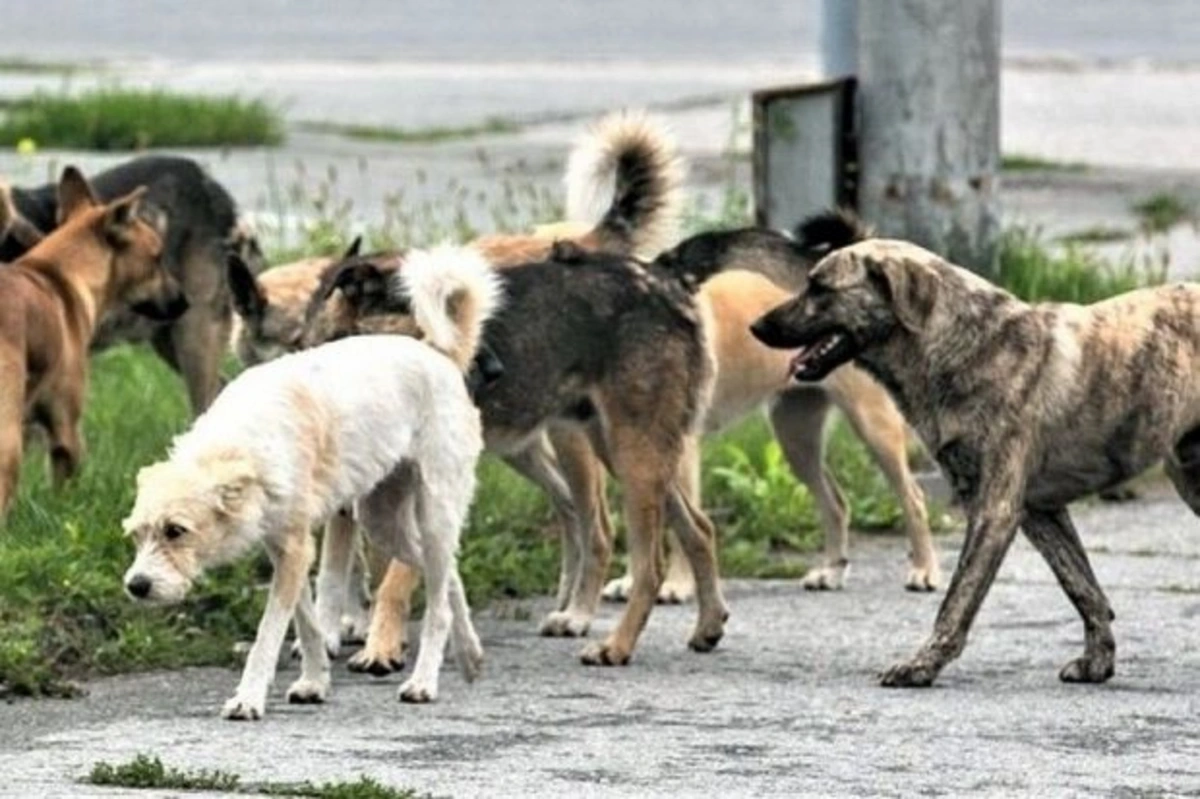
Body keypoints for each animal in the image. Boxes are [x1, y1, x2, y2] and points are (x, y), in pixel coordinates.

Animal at [0, 167, 184, 513]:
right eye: (157, 258)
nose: (184, 301)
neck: (60, 274)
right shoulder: (67, 432)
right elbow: (64, 493)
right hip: (9, 443)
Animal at [119, 242, 499, 715]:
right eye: (137, 535)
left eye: (176, 531)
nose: (136, 586)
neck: (241, 443)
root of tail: (439, 354)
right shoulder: (287, 550)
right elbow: (309, 623)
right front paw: (315, 682)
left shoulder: (296, 551)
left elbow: (270, 633)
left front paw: (249, 697)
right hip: (384, 521)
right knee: (446, 577)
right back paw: (469, 654)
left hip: (433, 511)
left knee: (438, 602)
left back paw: (424, 681)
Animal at [748, 209, 1200, 686]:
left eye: (820, 287)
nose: (755, 326)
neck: (965, 346)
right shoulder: (1039, 512)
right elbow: (1082, 586)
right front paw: (1098, 661)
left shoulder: (994, 511)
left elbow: (957, 600)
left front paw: (922, 665)